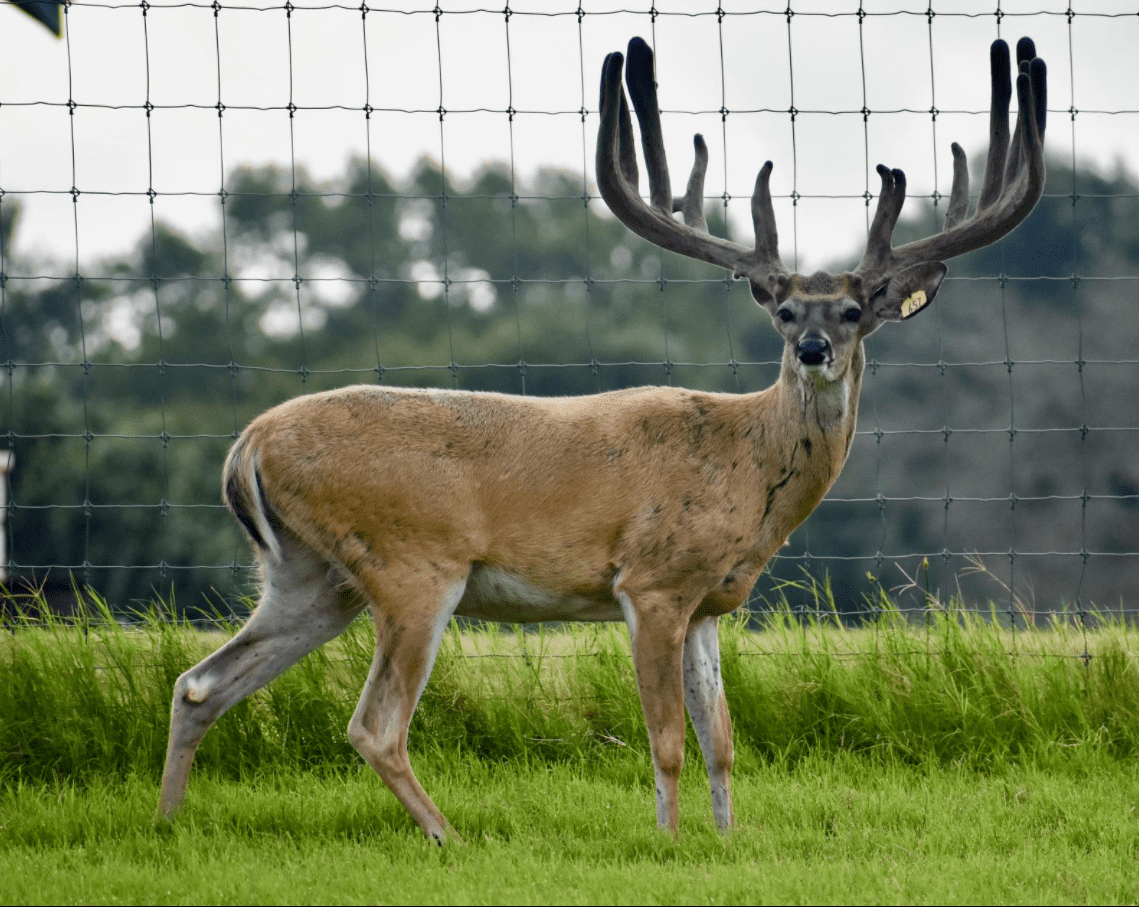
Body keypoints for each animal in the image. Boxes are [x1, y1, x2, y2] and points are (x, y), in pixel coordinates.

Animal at [156, 35, 1046, 842]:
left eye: (854, 311)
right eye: (785, 310)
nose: (813, 350)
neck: (744, 462)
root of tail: (247, 444)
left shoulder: (710, 602)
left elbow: (721, 739)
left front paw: (727, 841)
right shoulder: (649, 581)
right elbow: (667, 740)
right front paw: (669, 841)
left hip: (310, 575)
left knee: (201, 682)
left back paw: (169, 824)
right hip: (410, 563)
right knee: (373, 724)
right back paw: (451, 837)